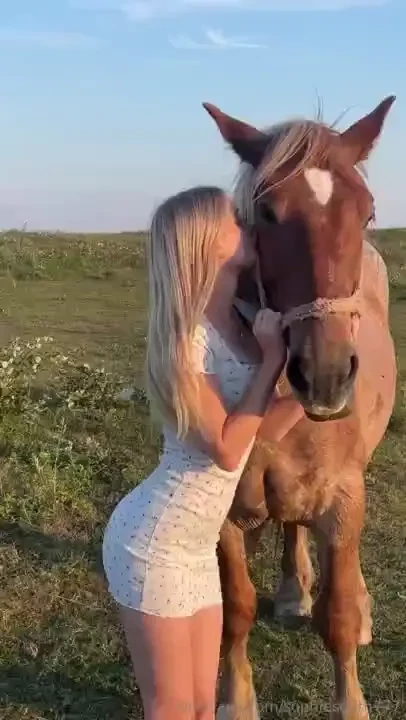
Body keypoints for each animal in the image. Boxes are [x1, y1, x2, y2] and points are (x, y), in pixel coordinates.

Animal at [202, 96, 397, 720]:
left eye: (367, 213)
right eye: (265, 213)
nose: (326, 376)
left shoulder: (343, 500)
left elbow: (336, 618)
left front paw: (352, 703)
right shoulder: (224, 511)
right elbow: (236, 609)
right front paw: (236, 700)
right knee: (290, 528)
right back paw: (292, 591)